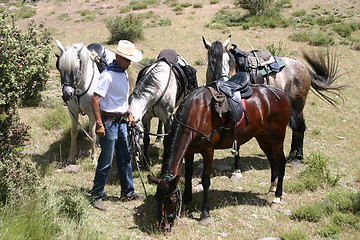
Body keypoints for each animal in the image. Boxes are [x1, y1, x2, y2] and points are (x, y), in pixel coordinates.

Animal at [148, 83, 292, 232]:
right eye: (157, 198)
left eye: (172, 200)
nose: (164, 226)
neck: (197, 112)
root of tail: (281, 94)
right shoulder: (190, 150)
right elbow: (187, 175)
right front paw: (187, 199)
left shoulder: (208, 151)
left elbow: (205, 181)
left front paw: (205, 214)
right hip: (262, 137)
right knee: (272, 160)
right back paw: (272, 188)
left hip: (276, 138)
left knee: (281, 162)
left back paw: (277, 197)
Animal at [202, 36, 346, 171]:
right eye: (212, 61)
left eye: (228, 60)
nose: (224, 82)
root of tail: (303, 67)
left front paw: (237, 166)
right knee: (298, 127)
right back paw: (293, 154)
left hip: (297, 105)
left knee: (299, 127)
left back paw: (297, 158)